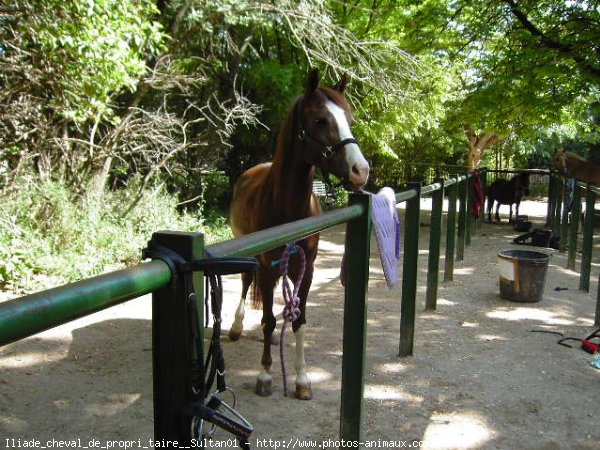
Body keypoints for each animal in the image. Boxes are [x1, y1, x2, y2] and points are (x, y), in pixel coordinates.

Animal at [227, 68, 368, 400]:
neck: (287, 207)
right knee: (246, 282)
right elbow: (267, 320)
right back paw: (237, 327)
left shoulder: (308, 268)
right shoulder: (267, 267)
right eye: (320, 120)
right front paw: (265, 375)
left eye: (349, 118)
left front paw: (303, 379)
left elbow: (299, 320)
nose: (361, 171)